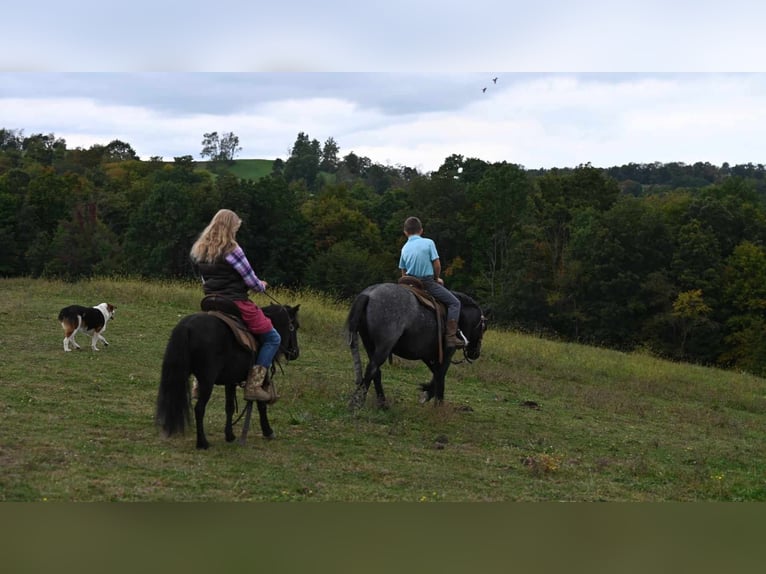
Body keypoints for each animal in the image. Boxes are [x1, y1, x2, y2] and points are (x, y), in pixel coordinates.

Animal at [155, 304, 300, 452]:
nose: (295, 353)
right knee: (199, 409)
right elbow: (261, 405)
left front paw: (229, 435)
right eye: (295, 326)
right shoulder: (262, 380)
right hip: (207, 381)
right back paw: (202, 443)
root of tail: (187, 326)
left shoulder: (230, 382)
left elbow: (229, 406)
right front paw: (268, 431)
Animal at [346, 284, 486, 410]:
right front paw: (437, 404)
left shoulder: (427, 355)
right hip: (383, 347)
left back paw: (382, 403)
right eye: (483, 328)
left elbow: (436, 375)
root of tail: (368, 295)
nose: (475, 353)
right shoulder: (446, 354)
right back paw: (357, 402)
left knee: (376, 372)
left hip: (370, 345)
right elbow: (441, 376)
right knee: (372, 369)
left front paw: (428, 393)